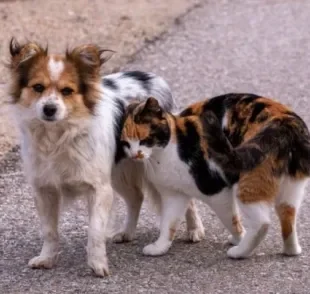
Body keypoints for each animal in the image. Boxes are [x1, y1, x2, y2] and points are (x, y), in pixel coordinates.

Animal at [7, 38, 205, 276]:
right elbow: (49, 230)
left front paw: (97, 264)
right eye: (38, 88)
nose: (49, 109)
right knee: (135, 197)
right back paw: (127, 232)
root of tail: (152, 78)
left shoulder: (99, 188)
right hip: (120, 171)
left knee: (185, 196)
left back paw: (195, 229)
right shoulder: (44, 189)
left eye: (67, 91)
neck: (58, 135)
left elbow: (95, 229)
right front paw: (47, 258)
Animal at [120, 93, 310, 258]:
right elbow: (169, 223)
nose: (135, 154)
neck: (164, 153)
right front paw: (160, 247)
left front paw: (238, 239)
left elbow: (231, 220)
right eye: (126, 143)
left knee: (262, 222)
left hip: (247, 182)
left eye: (144, 139)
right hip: (291, 187)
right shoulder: (175, 194)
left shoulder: (217, 191)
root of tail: (287, 123)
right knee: (287, 214)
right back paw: (291, 250)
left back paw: (240, 252)